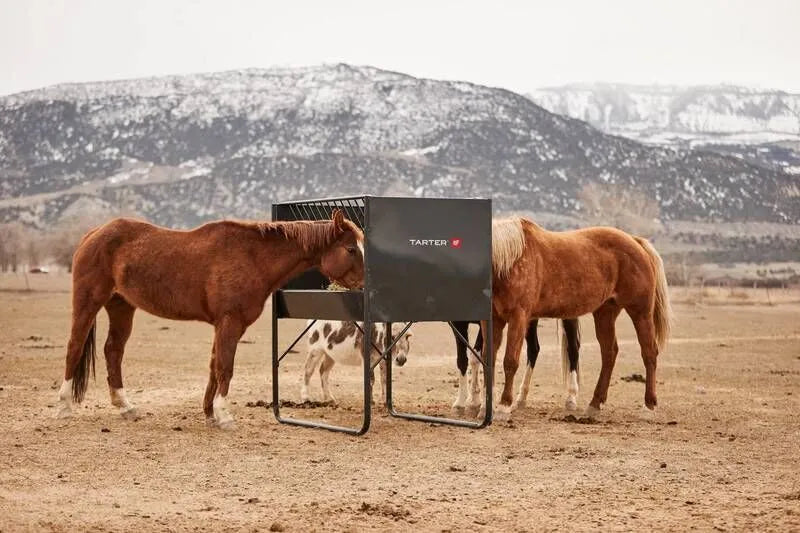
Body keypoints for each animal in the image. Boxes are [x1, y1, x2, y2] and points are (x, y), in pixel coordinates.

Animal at [55, 209, 365, 429]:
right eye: (351, 249)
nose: (365, 286)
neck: (253, 258)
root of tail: (94, 233)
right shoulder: (230, 322)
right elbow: (225, 367)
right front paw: (224, 415)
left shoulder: (224, 325)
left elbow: (214, 366)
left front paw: (210, 413)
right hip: (88, 303)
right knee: (74, 348)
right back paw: (64, 407)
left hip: (121, 307)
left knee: (113, 351)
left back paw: (126, 407)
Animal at [450, 318, 581, 414]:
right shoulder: (458, 323)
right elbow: (463, 360)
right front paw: (464, 402)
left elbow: (476, 357)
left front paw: (477, 401)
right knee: (534, 348)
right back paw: (521, 398)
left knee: (573, 348)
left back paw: (571, 397)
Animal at [480, 216, 672, 421]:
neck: (511, 261)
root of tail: (636, 242)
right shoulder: (493, 320)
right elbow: (488, 358)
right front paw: (485, 407)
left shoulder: (519, 317)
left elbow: (510, 361)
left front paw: (503, 406)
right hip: (605, 313)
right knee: (609, 352)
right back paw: (595, 403)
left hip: (640, 313)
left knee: (649, 352)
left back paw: (648, 406)